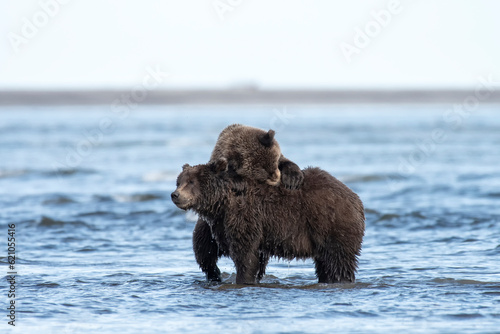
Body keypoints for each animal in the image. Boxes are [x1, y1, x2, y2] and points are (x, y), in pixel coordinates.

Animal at [170, 159, 366, 284]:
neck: (221, 202)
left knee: (338, 262)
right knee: (325, 263)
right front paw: (215, 274)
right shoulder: (216, 224)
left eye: (191, 182)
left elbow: (245, 254)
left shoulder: (245, 216)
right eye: (178, 181)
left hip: (332, 225)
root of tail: (356, 199)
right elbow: (205, 249)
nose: (175, 195)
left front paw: (243, 279)